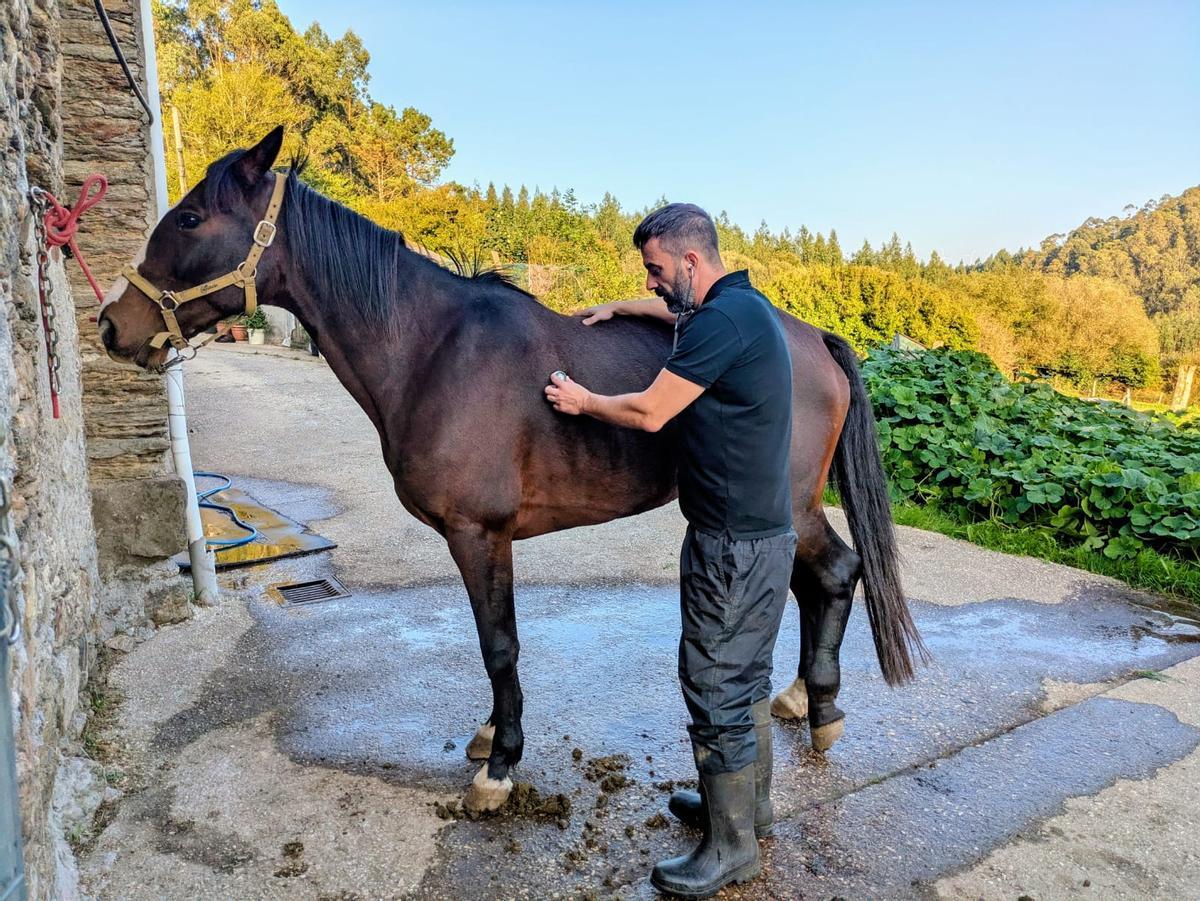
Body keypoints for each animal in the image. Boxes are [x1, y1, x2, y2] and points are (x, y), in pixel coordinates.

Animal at [97, 127, 925, 813]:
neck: (431, 349)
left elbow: (499, 644)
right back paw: (797, 697)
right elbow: (489, 639)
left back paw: (822, 710)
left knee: (835, 572)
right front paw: (492, 736)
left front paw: (500, 768)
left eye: (192, 219)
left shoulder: (479, 532)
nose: (112, 326)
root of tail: (811, 336)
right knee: (817, 580)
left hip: (791, 503)